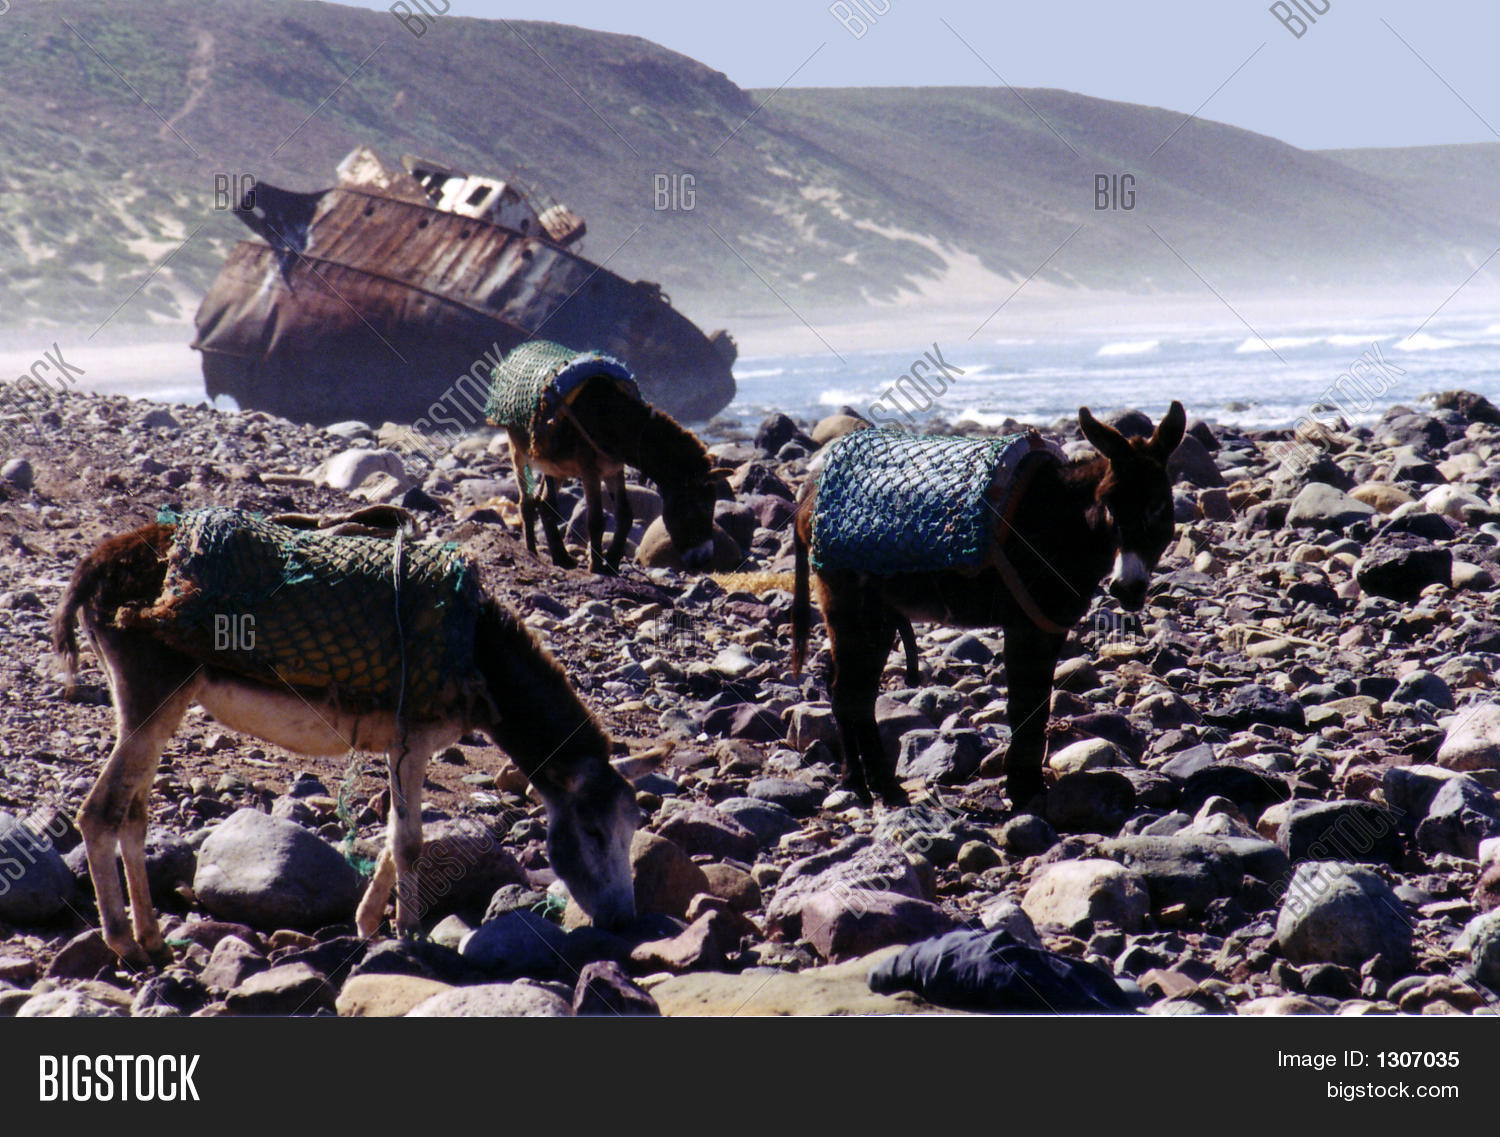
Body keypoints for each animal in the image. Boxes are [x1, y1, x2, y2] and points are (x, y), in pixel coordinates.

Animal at [51, 507, 661, 968]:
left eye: (634, 828)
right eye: (593, 830)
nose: (623, 921)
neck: (477, 651)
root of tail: (102, 560)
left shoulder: (402, 745)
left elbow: (395, 835)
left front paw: (369, 924)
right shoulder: (414, 740)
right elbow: (410, 841)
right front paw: (409, 935)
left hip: (159, 708)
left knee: (132, 816)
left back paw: (153, 939)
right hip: (152, 699)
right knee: (98, 814)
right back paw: (125, 942)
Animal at [486, 343, 726, 574]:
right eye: (697, 508)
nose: (704, 559)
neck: (613, 420)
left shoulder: (613, 468)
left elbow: (625, 515)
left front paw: (612, 561)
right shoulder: (589, 471)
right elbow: (596, 520)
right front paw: (596, 566)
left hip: (555, 465)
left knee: (545, 505)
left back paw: (561, 557)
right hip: (518, 450)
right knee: (526, 502)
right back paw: (532, 551)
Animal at [791, 403, 1186, 808]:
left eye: (1159, 507)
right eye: (1108, 503)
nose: (1127, 587)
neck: (1063, 522)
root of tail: (809, 497)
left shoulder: (1050, 627)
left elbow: (1039, 705)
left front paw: (1028, 785)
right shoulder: (1025, 626)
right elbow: (1024, 706)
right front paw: (1023, 790)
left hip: (879, 618)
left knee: (858, 695)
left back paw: (873, 784)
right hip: (850, 609)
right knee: (846, 694)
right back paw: (863, 784)